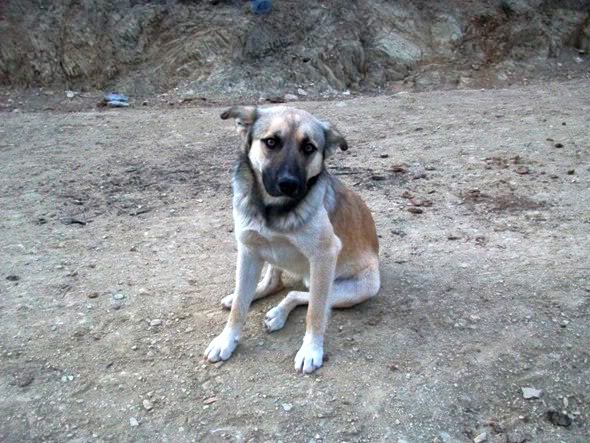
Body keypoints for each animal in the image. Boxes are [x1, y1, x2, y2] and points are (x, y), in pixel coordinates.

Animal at [204, 106, 382, 372]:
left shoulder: (324, 256)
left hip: (356, 287)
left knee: (301, 295)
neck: (274, 209)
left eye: (309, 147)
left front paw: (311, 350)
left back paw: (278, 313)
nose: (288, 184)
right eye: (270, 142)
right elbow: (238, 308)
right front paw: (226, 340)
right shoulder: (248, 250)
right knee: (273, 285)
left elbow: (315, 312)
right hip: (267, 252)